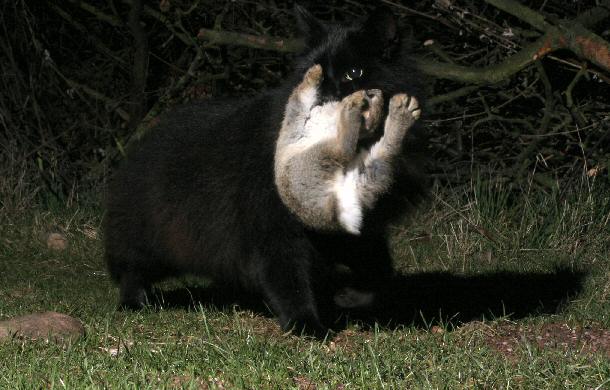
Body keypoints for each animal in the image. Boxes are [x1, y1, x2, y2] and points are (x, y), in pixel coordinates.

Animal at [104, 5, 426, 338]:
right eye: (314, 74)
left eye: (354, 73)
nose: (326, 95)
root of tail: (142, 142)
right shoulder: (276, 229)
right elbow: (290, 282)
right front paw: (306, 325)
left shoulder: (356, 229)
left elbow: (378, 271)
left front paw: (353, 298)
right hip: (149, 241)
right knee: (131, 270)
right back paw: (135, 302)